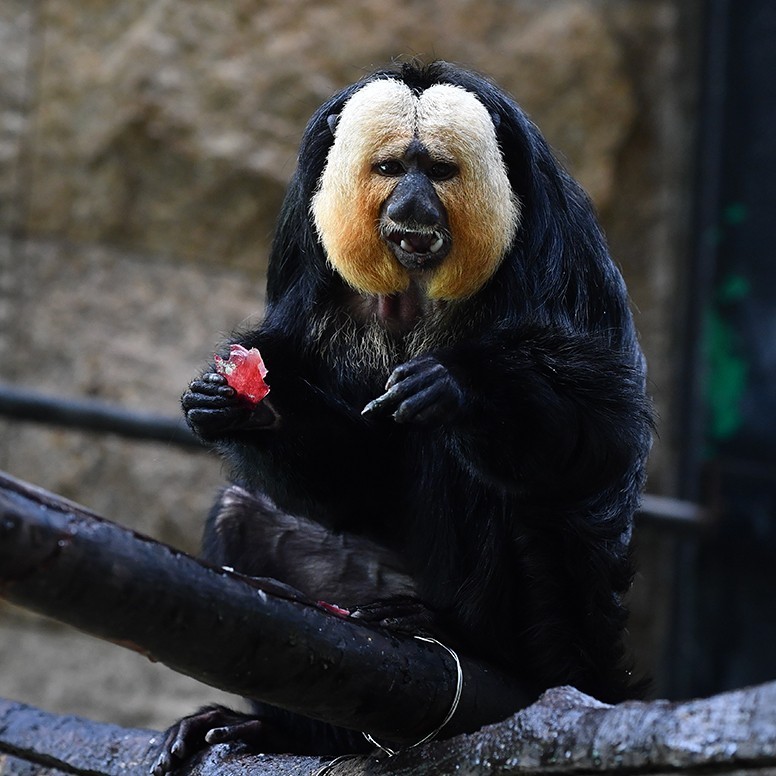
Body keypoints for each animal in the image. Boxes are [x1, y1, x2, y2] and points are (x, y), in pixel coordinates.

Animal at [152, 59, 648, 768]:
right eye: (390, 169)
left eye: (437, 171)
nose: (412, 205)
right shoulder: (304, 263)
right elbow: (358, 479)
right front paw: (247, 407)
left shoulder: (562, 250)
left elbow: (602, 438)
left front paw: (461, 390)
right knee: (242, 514)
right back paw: (284, 731)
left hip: (555, 635)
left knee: (476, 468)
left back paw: (458, 634)